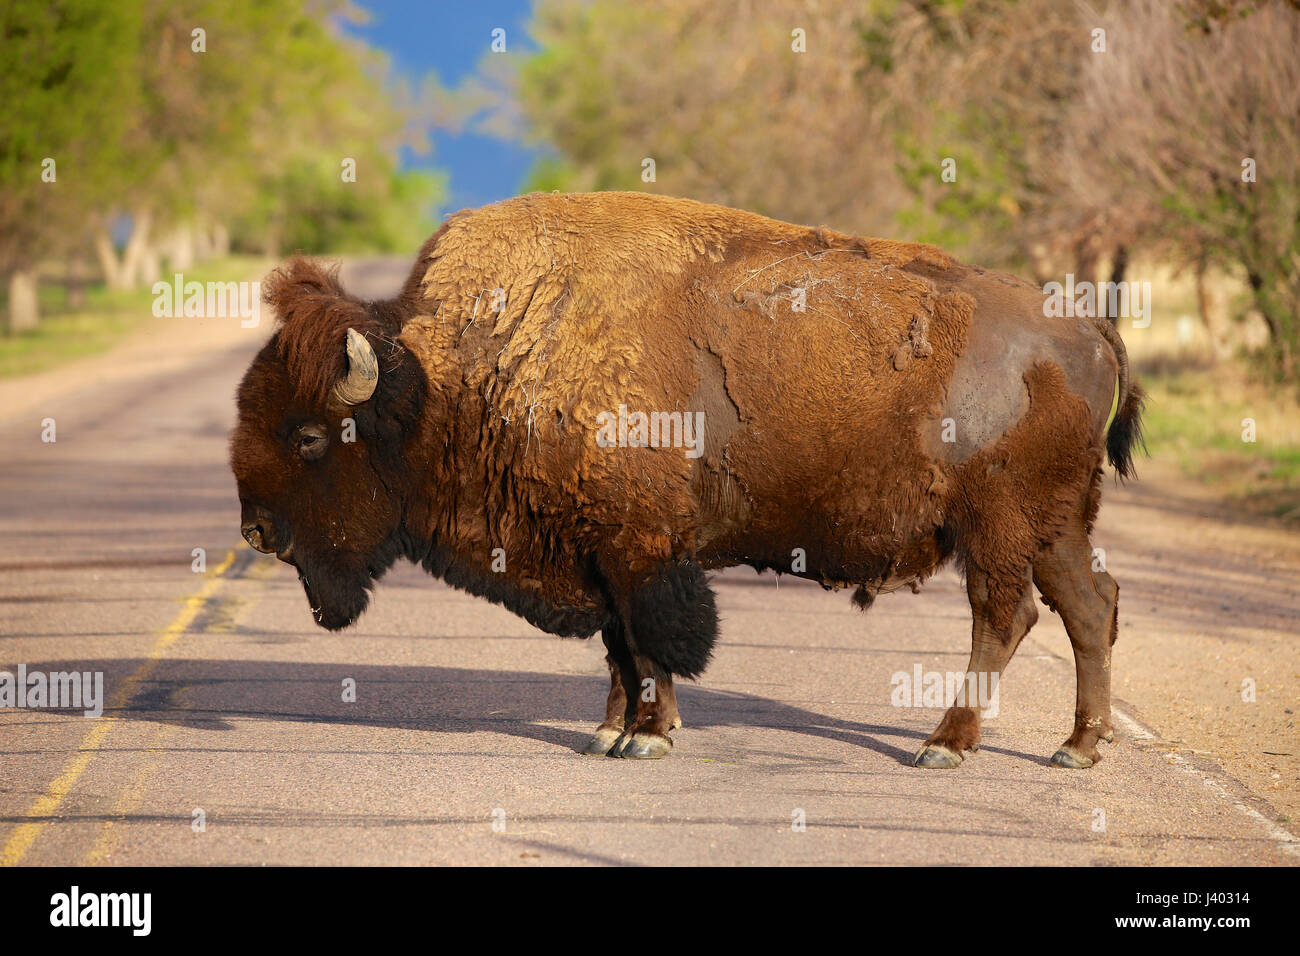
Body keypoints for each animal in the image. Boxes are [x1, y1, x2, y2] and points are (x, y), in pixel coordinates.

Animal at [231, 191, 1144, 768]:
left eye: (308, 436)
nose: (256, 531)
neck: (457, 371)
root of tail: (1085, 327)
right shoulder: (593, 548)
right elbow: (617, 648)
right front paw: (609, 732)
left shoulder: (639, 547)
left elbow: (650, 641)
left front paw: (649, 735)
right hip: (1056, 526)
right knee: (1087, 608)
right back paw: (1076, 749)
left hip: (998, 525)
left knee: (1007, 615)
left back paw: (944, 746)